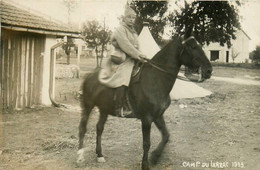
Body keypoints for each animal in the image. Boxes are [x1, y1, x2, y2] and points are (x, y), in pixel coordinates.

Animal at [76, 29, 212, 169]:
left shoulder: (158, 116)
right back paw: (80, 156)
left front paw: (155, 157)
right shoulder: (146, 119)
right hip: (87, 105)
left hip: (104, 109)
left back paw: (99, 155)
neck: (156, 79)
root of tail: (89, 76)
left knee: (99, 128)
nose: (208, 70)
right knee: (82, 128)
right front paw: (145, 164)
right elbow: (146, 143)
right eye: (192, 46)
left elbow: (166, 136)